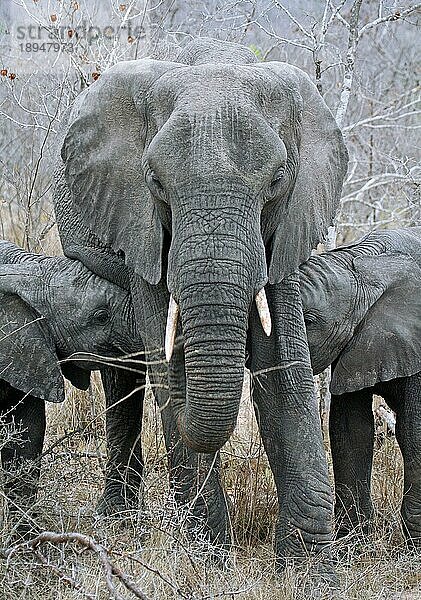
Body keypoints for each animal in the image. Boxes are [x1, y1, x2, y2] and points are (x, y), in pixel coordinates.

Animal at [53, 38, 348, 568]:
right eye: (155, 181)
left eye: (278, 179)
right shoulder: (140, 224)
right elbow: (168, 366)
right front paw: (207, 556)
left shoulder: (286, 228)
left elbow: (283, 372)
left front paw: (309, 567)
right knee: (124, 377)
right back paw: (118, 519)